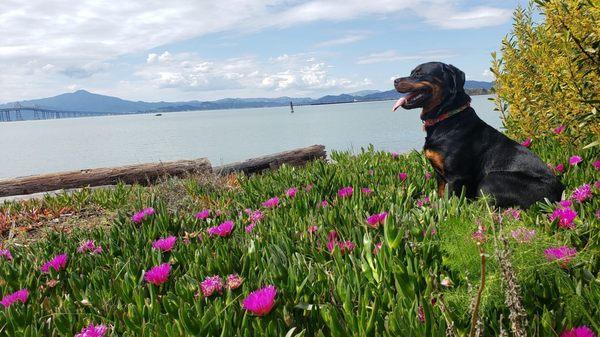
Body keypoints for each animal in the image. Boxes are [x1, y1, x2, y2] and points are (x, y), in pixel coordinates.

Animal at [394, 61, 564, 207]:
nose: (395, 80)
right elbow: (442, 195)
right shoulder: (440, 175)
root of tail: (558, 194)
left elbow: (448, 202)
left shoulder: (455, 176)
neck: (447, 116)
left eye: (419, 74)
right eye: (411, 72)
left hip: (492, 179)